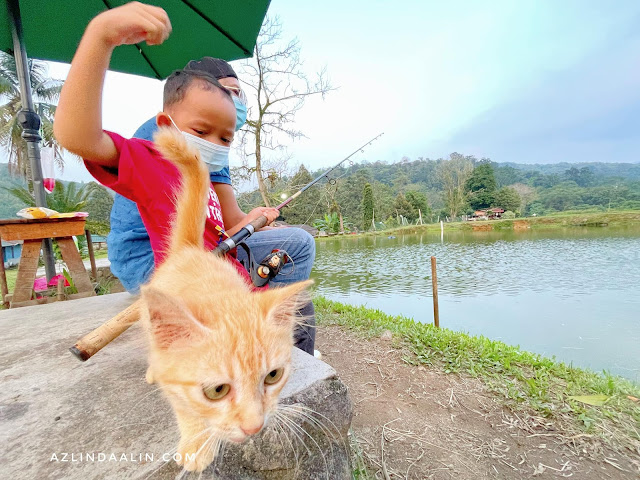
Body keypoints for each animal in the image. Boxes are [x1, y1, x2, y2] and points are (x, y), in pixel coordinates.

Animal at [141, 127, 312, 472]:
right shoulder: (177, 386)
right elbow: (185, 407)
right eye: (216, 390)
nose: (254, 426)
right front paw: (197, 442)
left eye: (273, 376)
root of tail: (191, 249)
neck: (219, 298)